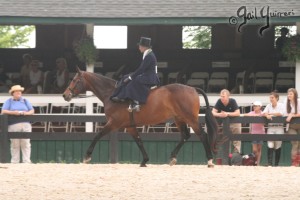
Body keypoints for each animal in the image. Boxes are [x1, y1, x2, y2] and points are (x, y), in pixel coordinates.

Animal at [62, 68, 218, 167]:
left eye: (75, 80)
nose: (65, 95)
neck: (112, 94)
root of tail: (192, 88)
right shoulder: (129, 126)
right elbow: (139, 141)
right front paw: (144, 161)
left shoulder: (113, 123)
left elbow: (97, 135)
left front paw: (87, 157)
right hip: (179, 119)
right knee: (185, 136)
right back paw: (172, 158)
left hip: (190, 119)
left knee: (202, 135)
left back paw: (210, 161)